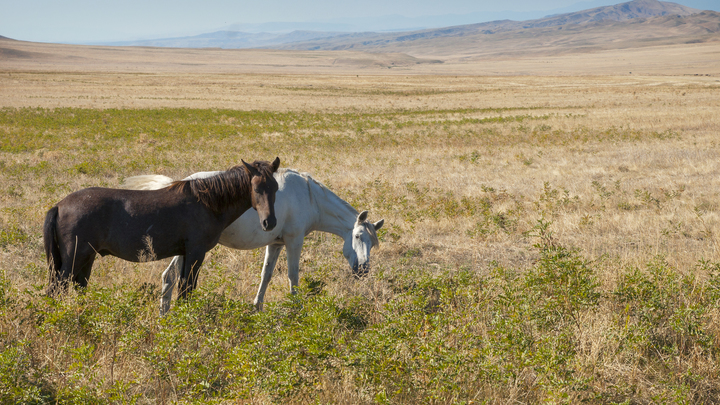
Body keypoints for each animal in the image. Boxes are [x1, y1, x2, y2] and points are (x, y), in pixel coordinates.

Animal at [44, 156, 282, 298]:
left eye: (275, 187)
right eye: (256, 188)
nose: (269, 222)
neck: (208, 203)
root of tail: (59, 205)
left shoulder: (186, 253)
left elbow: (184, 288)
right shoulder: (196, 252)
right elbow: (187, 289)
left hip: (86, 258)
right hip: (74, 259)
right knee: (57, 289)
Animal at [124, 168, 382, 312]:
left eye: (372, 243)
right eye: (358, 236)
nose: (363, 270)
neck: (309, 197)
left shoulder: (275, 244)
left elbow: (266, 275)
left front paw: (257, 308)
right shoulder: (293, 241)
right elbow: (293, 277)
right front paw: (297, 311)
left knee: (168, 277)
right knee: (170, 277)